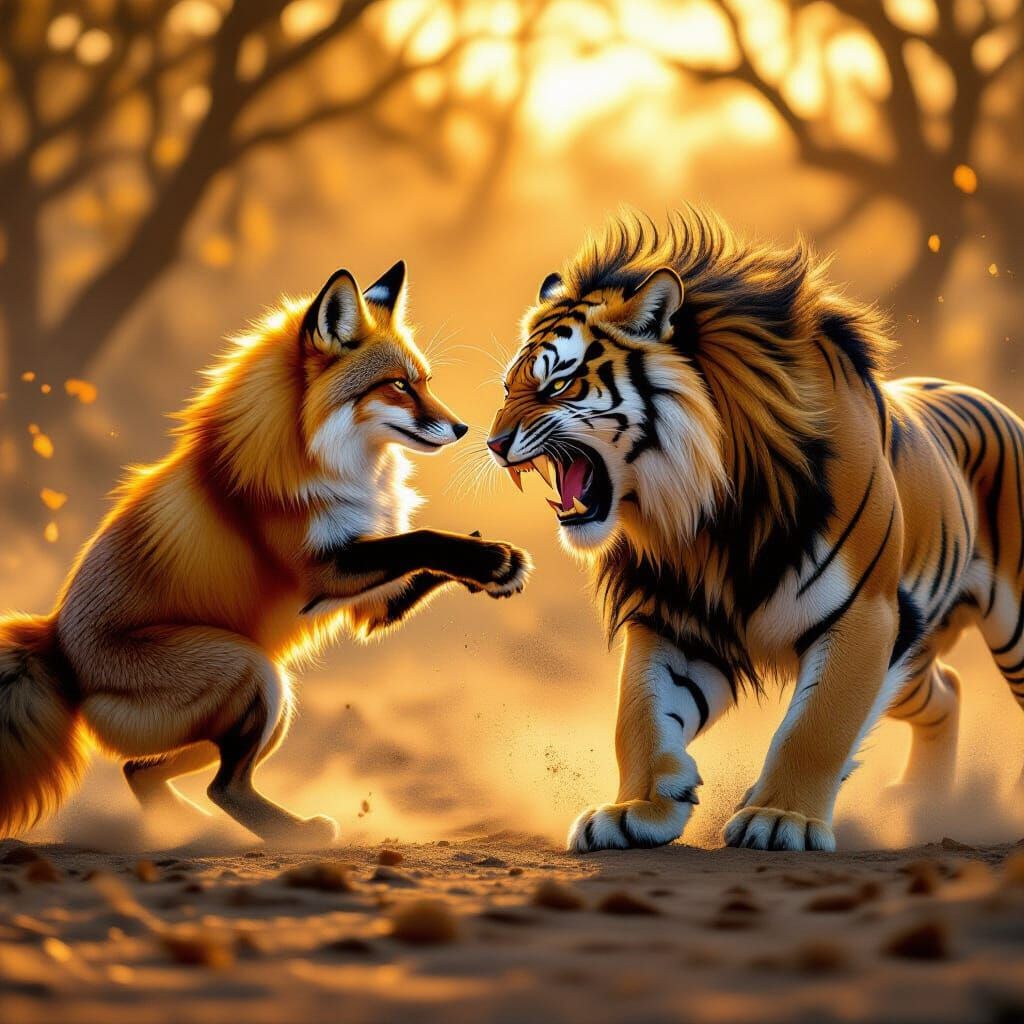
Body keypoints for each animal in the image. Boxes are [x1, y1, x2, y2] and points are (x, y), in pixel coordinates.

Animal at [0, 260, 531, 846]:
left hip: (260, 705)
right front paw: (490, 560)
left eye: (425, 382)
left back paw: (189, 829)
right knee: (222, 786)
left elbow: (427, 552)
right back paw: (293, 834)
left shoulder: (367, 603)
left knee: (139, 770)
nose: (463, 429)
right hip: (253, 671)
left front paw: (493, 565)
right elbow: (421, 540)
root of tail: (54, 643)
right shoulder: (322, 571)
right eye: (398, 385)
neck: (324, 458)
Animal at [486, 206, 1024, 853]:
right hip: (913, 653)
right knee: (948, 690)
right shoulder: (676, 618)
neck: (711, 509)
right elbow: (638, 715)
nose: (491, 443)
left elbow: (816, 726)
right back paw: (923, 804)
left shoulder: (865, 616)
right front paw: (637, 808)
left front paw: (780, 819)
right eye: (508, 387)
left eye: (558, 385)